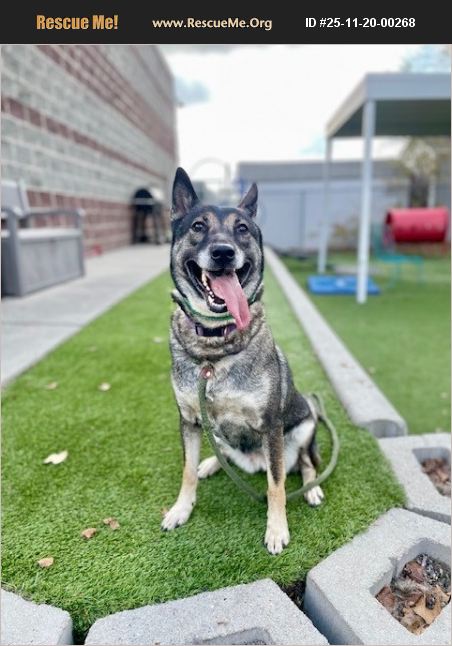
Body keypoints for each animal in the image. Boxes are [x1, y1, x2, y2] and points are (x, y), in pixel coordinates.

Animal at [162, 167, 324, 554]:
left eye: (243, 229)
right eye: (198, 226)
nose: (223, 252)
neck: (214, 343)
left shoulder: (271, 425)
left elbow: (276, 485)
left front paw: (277, 530)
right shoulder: (188, 420)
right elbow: (186, 471)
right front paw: (181, 509)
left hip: (305, 422)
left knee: (304, 463)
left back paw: (312, 489)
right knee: (225, 455)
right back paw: (210, 464)